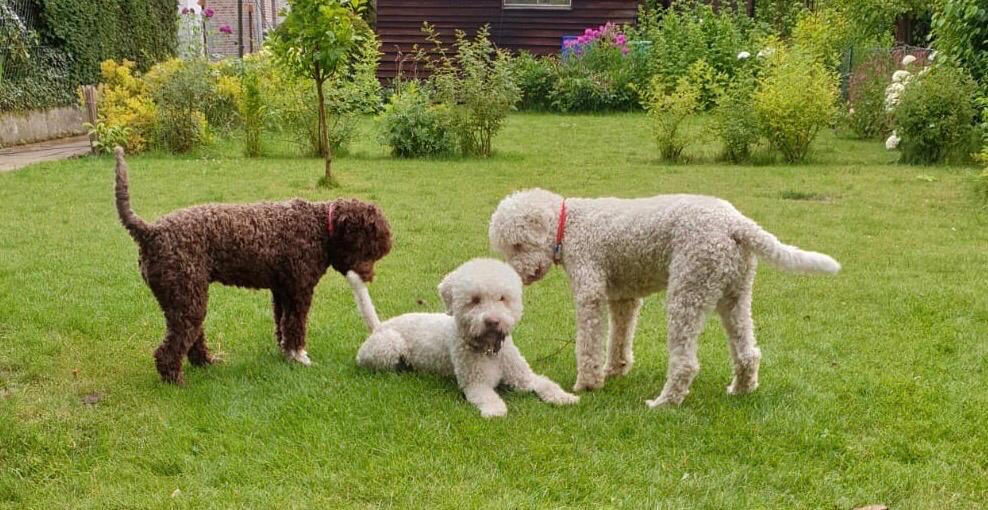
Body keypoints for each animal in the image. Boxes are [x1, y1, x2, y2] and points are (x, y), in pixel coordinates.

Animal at [114, 147, 392, 382]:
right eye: (371, 249)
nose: (368, 278)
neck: (320, 227)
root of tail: (150, 231)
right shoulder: (300, 291)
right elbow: (296, 326)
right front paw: (299, 356)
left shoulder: (282, 292)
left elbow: (282, 326)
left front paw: (286, 355)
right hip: (186, 299)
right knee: (170, 347)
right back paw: (175, 380)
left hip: (185, 299)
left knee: (191, 339)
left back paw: (206, 362)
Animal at [348, 258, 580, 418]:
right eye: (474, 300)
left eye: (502, 298)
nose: (493, 321)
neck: (490, 350)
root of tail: (380, 326)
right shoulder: (475, 383)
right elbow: (489, 396)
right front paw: (495, 410)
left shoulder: (525, 378)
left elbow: (546, 383)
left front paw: (565, 397)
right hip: (388, 345)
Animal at [490, 189, 836, 408]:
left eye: (517, 245)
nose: (518, 276)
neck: (570, 224)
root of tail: (736, 223)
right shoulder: (623, 299)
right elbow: (618, 339)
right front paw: (614, 370)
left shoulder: (590, 293)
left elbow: (588, 344)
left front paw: (587, 384)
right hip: (735, 295)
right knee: (748, 353)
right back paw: (741, 390)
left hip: (687, 291)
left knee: (685, 364)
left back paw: (664, 402)